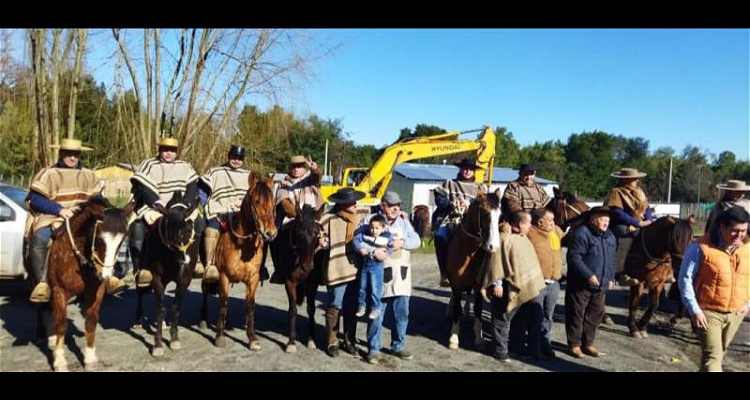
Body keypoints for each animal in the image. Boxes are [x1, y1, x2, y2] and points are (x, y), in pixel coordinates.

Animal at [45, 197, 129, 372]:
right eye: (100, 239)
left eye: (122, 241)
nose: (105, 275)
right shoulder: (59, 290)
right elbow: (61, 324)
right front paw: (60, 361)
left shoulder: (96, 290)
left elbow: (91, 321)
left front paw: (90, 358)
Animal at [135, 192, 198, 358]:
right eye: (169, 227)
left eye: (190, 228)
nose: (184, 260)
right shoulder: (157, 279)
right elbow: (160, 310)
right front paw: (157, 344)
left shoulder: (184, 280)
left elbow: (176, 307)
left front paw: (174, 338)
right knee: (140, 293)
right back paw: (138, 319)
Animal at [200, 173, 280, 352]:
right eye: (256, 201)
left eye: (273, 202)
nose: (270, 233)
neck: (242, 245)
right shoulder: (223, 276)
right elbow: (223, 303)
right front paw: (220, 336)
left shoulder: (253, 279)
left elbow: (249, 306)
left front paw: (252, 338)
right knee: (206, 291)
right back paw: (204, 320)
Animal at [272, 203, 328, 354]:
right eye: (300, 233)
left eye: (316, 234)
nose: (307, 267)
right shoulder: (290, 282)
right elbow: (293, 310)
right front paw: (291, 342)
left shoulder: (312, 284)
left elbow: (311, 309)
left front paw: (311, 339)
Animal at [446, 189, 506, 348]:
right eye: (485, 213)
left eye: (500, 215)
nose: (493, 247)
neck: (468, 250)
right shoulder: (457, 283)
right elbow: (457, 307)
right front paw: (454, 338)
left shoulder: (478, 284)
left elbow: (478, 307)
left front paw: (479, 337)